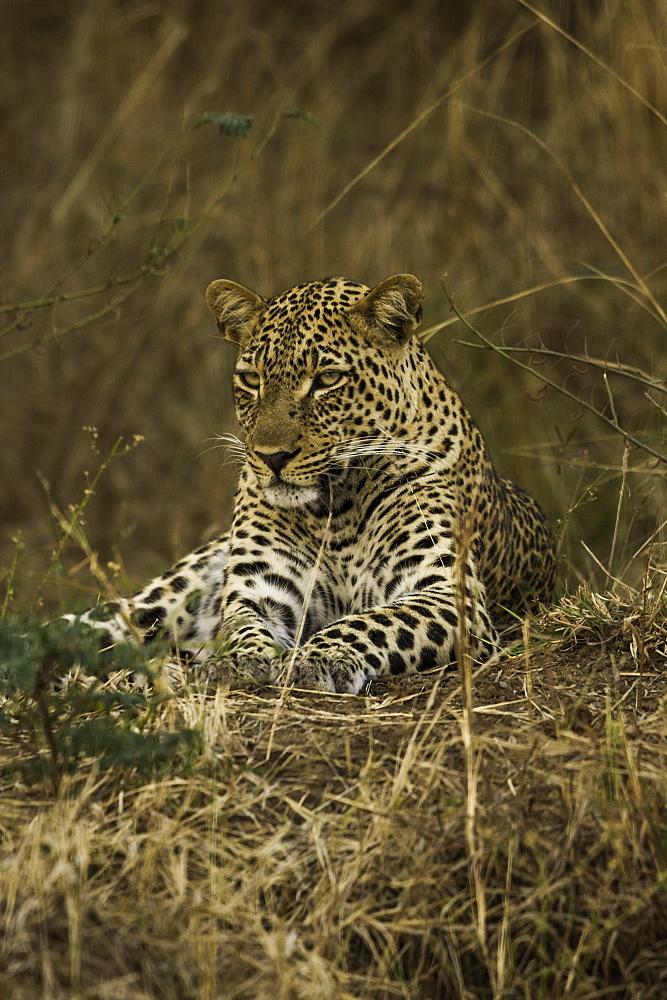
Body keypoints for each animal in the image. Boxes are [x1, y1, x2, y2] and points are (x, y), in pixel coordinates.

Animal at [68, 274, 560, 696]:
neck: (336, 506)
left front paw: (316, 659)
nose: (271, 457)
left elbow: (373, 621)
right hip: (162, 597)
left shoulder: (446, 590)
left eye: (326, 379)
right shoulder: (260, 589)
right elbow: (240, 626)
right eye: (252, 379)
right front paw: (235, 661)